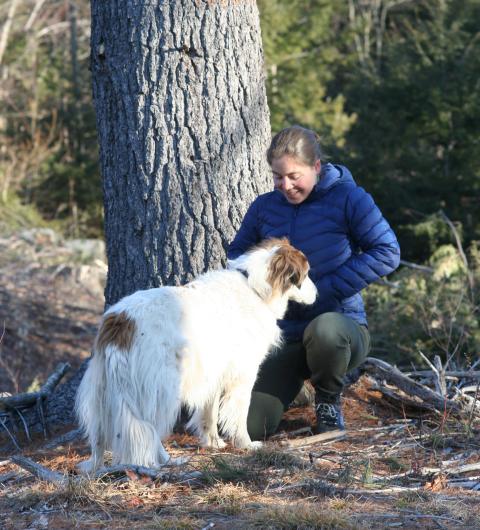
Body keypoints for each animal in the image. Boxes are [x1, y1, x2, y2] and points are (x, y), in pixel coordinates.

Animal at [75, 236, 316, 470]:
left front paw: (214, 443)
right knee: (150, 430)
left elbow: (210, 412)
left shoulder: (214, 371)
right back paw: (167, 461)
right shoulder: (243, 373)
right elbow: (239, 413)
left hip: (103, 389)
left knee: (100, 437)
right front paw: (246, 444)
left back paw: (94, 466)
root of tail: (121, 321)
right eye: (306, 274)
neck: (254, 288)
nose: (317, 294)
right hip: (162, 390)